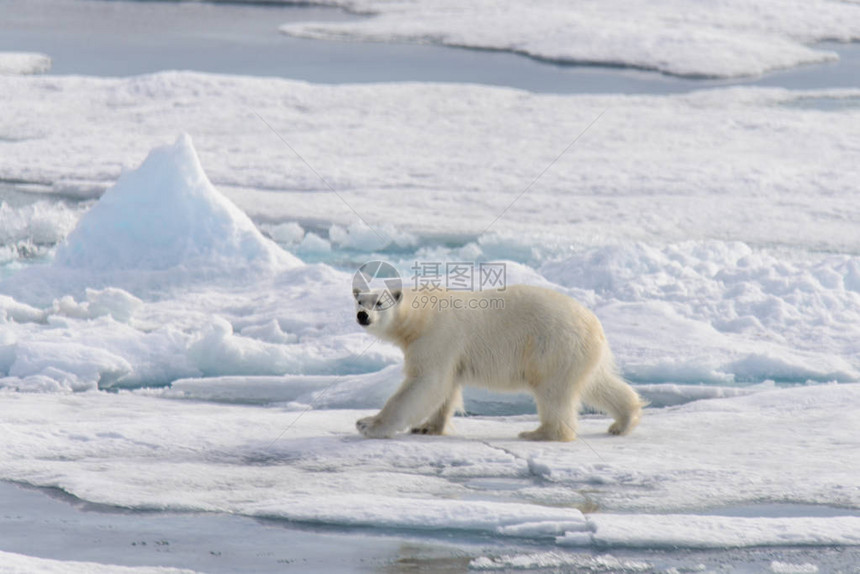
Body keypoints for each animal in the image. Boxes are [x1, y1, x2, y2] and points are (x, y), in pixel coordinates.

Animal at [352, 286, 644, 444]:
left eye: (379, 302)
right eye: (359, 299)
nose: (362, 315)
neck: (421, 317)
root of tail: (595, 324)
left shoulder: (437, 336)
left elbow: (425, 383)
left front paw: (368, 424)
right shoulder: (449, 351)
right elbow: (446, 387)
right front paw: (427, 427)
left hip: (553, 346)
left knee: (553, 391)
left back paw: (538, 433)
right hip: (579, 354)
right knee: (598, 384)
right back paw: (624, 421)